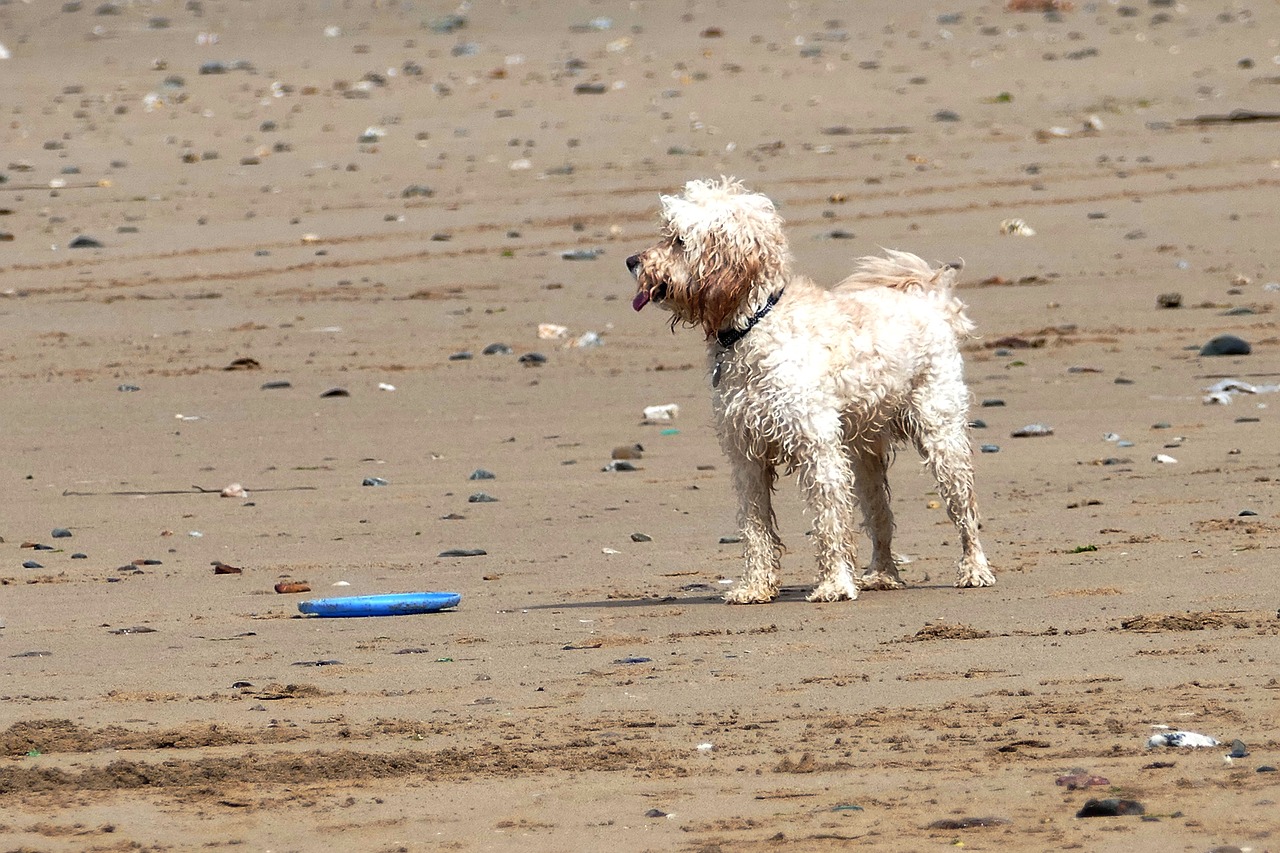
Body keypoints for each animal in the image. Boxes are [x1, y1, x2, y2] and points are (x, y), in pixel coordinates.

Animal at [624, 175, 993, 601]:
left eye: (679, 240)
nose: (631, 261)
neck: (755, 323)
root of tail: (928, 300)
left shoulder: (816, 448)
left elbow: (828, 521)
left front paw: (834, 584)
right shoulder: (745, 454)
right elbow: (755, 527)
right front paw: (754, 587)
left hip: (941, 436)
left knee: (965, 511)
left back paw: (974, 569)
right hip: (864, 454)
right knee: (881, 516)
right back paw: (881, 574)